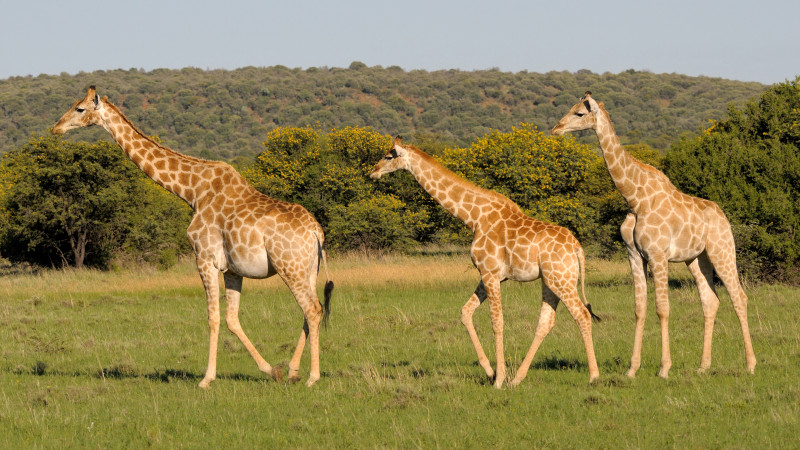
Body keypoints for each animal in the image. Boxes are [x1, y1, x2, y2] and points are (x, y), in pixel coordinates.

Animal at [52, 86, 334, 388]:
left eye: (80, 109)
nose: (56, 128)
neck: (193, 191)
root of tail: (316, 232)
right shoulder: (232, 269)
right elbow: (232, 319)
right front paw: (272, 370)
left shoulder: (204, 258)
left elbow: (213, 318)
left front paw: (206, 379)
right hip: (307, 269)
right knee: (312, 309)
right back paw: (293, 371)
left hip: (289, 267)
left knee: (312, 309)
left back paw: (312, 377)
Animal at [370, 135, 600, 388]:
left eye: (389, 156)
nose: (373, 171)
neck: (474, 218)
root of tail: (577, 247)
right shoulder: (487, 274)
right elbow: (465, 312)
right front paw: (490, 372)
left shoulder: (489, 272)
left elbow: (496, 322)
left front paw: (498, 379)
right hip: (550, 280)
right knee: (546, 322)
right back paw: (518, 378)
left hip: (562, 278)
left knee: (581, 314)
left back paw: (593, 376)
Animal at [552, 90, 756, 376]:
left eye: (579, 113)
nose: (556, 128)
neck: (635, 199)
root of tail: (723, 216)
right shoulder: (634, 256)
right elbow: (639, 309)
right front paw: (632, 369)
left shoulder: (658, 255)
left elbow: (663, 309)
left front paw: (664, 369)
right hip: (697, 258)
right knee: (710, 300)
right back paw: (703, 366)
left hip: (722, 250)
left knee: (739, 297)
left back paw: (750, 365)